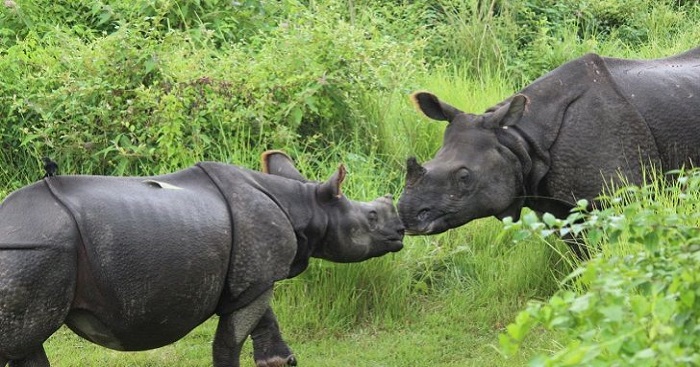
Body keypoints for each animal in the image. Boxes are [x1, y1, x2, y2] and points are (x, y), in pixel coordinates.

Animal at [0, 151, 404, 366]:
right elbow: (229, 341)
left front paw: (282, 359)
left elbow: (267, 331)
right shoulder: (256, 280)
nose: (401, 231)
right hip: (33, 251)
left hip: (33, 252)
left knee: (26, 345)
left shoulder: (254, 280)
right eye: (371, 218)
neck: (304, 205)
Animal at [400, 47, 700, 254]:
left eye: (464, 177)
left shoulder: (624, 196)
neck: (517, 139)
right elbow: (584, 253)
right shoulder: (557, 206)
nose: (407, 215)